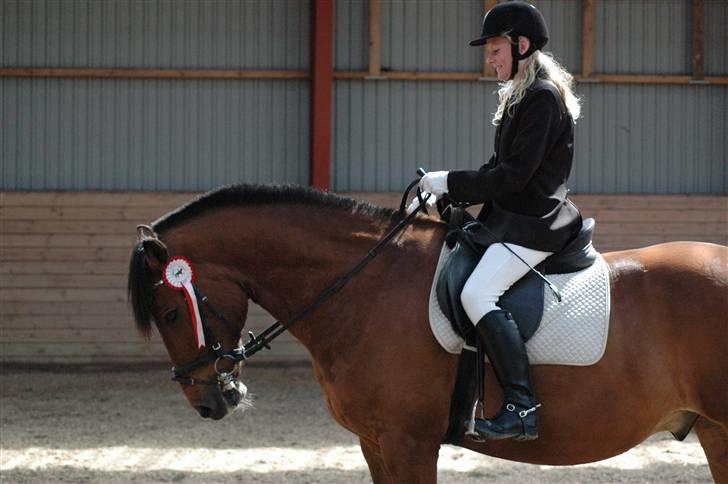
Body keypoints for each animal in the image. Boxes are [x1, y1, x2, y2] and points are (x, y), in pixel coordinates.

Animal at [128, 183, 728, 483]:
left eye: (172, 312)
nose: (211, 402)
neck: (366, 283)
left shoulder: (408, 442)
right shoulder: (375, 444)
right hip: (714, 431)